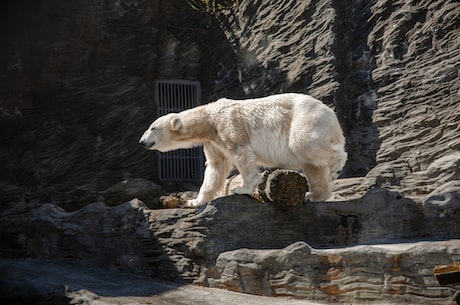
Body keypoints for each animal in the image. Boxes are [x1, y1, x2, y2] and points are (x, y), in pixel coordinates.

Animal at [138, 92, 346, 207]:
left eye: (152, 127)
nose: (141, 141)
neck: (209, 119)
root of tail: (332, 115)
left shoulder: (228, 125)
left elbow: (242, 154)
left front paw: (242, 188)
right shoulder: (213, 141)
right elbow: (215, 167)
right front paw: (195, 201)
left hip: (306, 119)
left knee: (304, 144)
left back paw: (335, 167)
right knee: (313, 166)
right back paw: (314, 196)